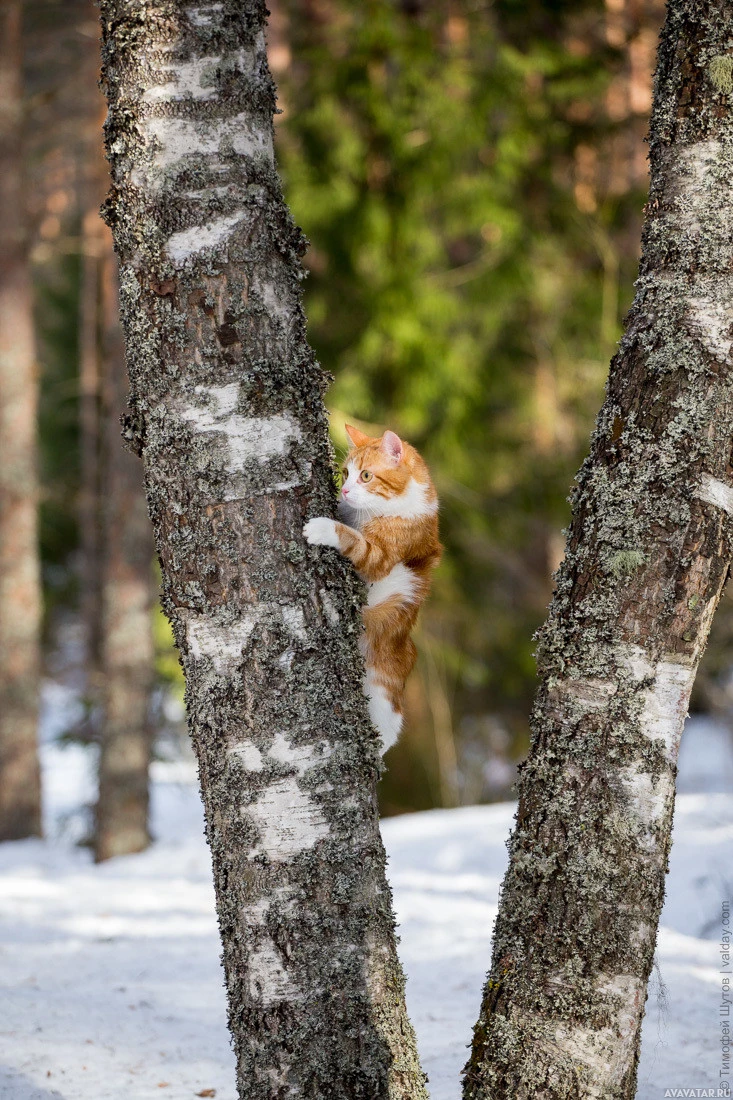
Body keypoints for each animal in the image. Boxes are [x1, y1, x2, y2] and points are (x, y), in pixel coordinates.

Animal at [301, 424, 440, 752]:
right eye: (345, 473)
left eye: (366, 476)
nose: (344, 491)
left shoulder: (382, 557)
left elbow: (355, 541)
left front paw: (323, 527)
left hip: (382, 695)